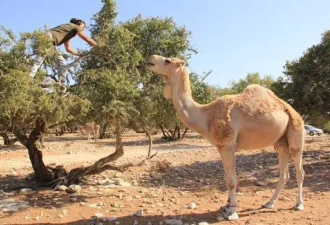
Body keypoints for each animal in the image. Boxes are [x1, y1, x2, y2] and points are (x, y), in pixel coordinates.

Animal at [147, 55, 304, 221]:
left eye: (168, 61)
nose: (150, 59)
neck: (206, 115)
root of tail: (292, 110)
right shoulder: (221, 147)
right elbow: (226, 177)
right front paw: (226, 207)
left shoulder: (228, 146)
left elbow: (231, 181)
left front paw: (233, 213)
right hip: (280, 143)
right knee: (284, 174)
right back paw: (269, 203)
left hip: (296, 133)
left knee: (299, 169)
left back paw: (298, 204)